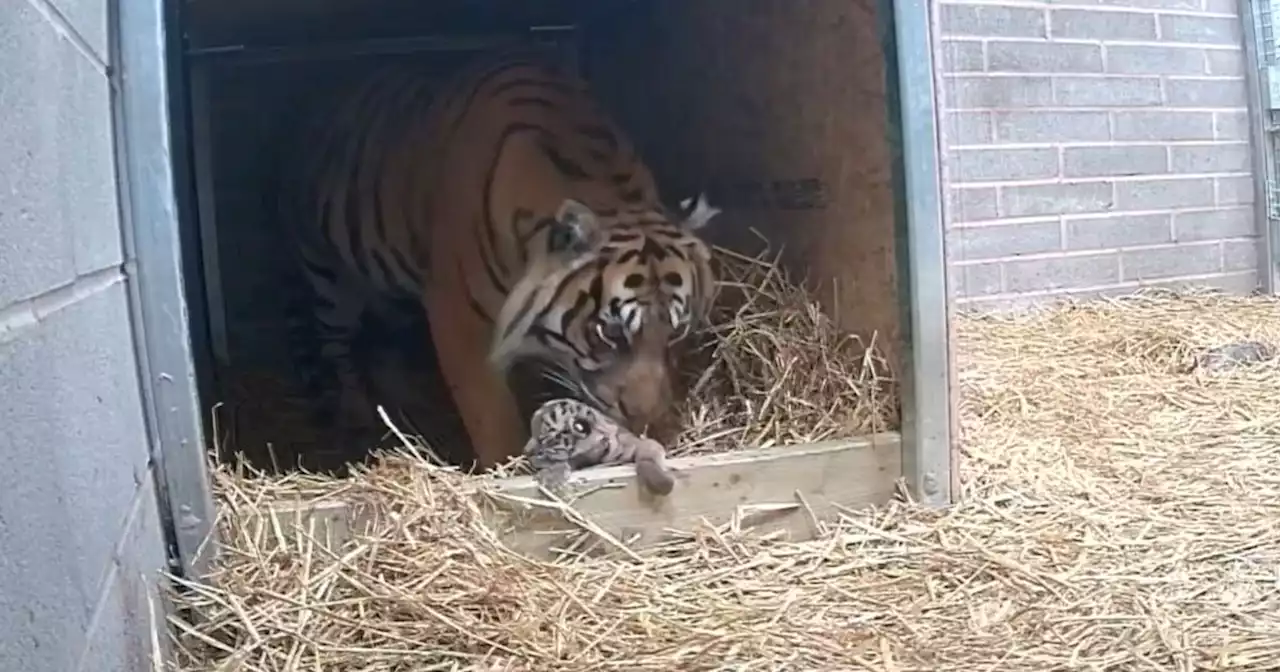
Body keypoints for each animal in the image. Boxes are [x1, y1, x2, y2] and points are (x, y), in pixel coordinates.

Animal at [277, 45, 721, 465]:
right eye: (610, 333)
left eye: (675, 332)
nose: (646, 420)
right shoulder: (459, 319)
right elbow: (491, 414)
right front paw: (505, 468)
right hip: (327, 275)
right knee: (337, 349)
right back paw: (357, 418)